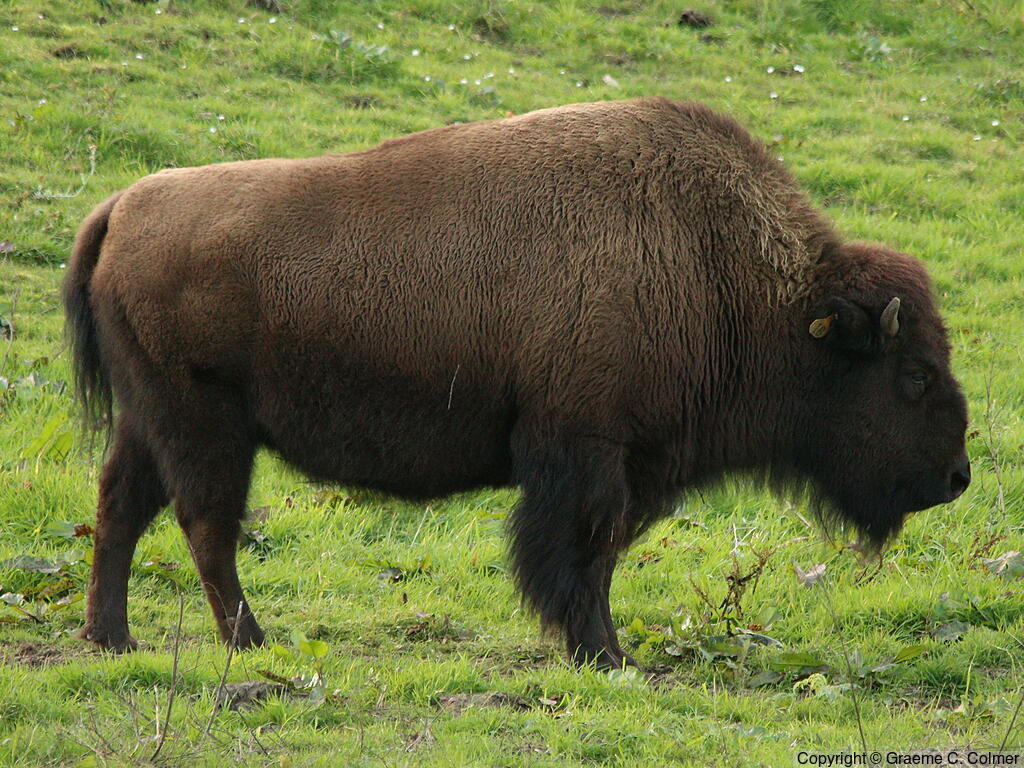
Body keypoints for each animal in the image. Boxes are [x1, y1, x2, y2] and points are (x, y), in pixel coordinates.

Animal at [64, 98, 970, 669]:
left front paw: (599, 651)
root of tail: (122, 207)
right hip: (205, 425)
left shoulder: (622, 461)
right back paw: (250, 642)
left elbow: (596, 558)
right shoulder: (585, 453)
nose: (957, 477)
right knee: (206, 524)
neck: (725, 273)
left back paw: (113, 639)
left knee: (121, 508)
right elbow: (583, 554)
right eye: (915, 374)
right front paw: (605, 656)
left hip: (149, 423)